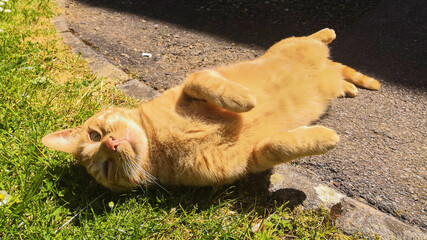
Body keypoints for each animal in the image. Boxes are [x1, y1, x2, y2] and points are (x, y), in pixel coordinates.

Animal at [41, 29, 382, 191]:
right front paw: (324, 137)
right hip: (328, 75)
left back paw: (330, 36)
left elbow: (203, 81)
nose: (112, 144)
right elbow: (281, 145)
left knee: (313, 39)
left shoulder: (193, 82)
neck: (161, 141)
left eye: (95, 135)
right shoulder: (252, 159)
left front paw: (244, 99)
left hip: (291, 46)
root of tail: (327, 69)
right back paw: (350, 86)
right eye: (106, 167)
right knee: (337, 70)